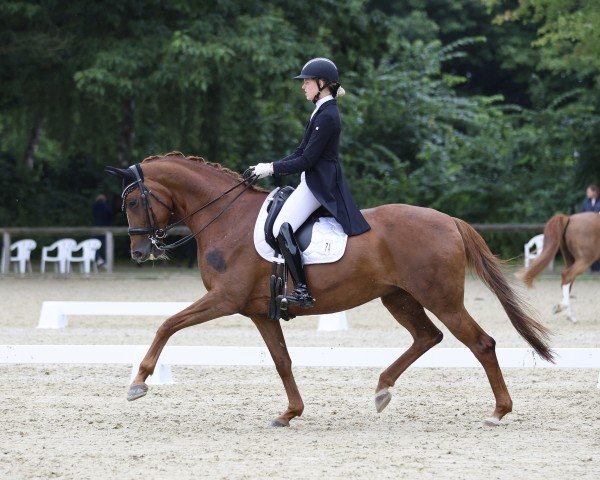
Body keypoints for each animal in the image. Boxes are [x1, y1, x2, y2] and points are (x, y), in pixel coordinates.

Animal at [108, 152, 552, 426]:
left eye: (133, 202)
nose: (139, 252)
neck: (226, 218)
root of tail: (448, 220)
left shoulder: (225, 299)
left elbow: (167, 324)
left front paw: (138, 383)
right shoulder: (258, 311)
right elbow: (282, 361)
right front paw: (289, 413)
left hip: (439, 297)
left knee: (481, 343)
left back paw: (498, 412)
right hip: (398, 296)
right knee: (428, 336)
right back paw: (382, 390)